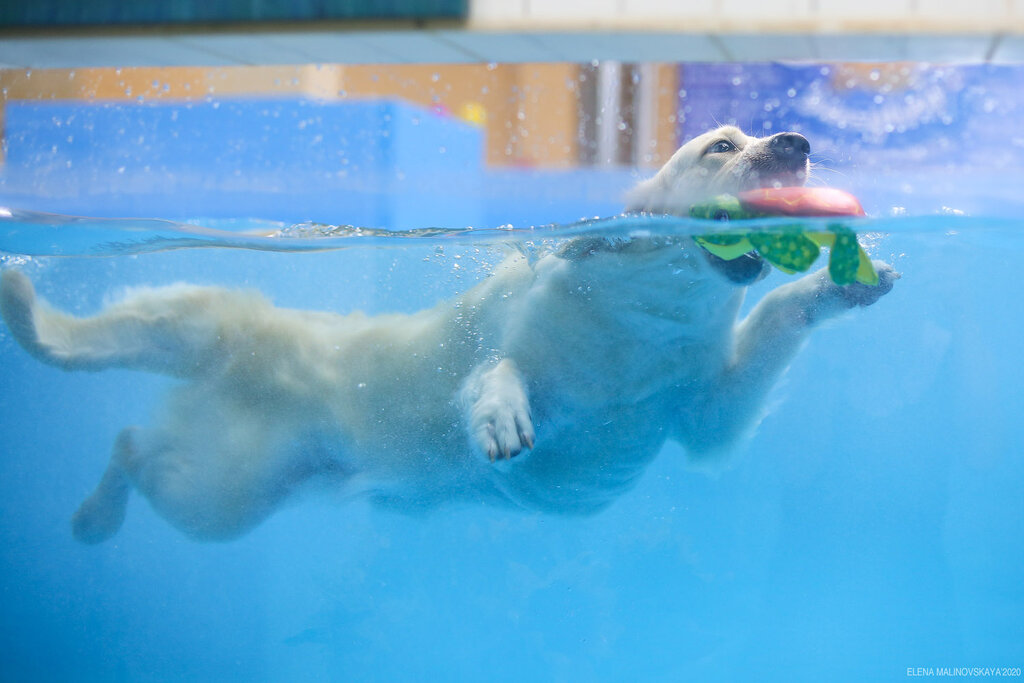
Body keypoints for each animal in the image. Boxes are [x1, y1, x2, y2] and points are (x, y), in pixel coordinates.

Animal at [0, 125, 897, 544]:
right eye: (721, 144)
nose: (796, 141)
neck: (639, 321)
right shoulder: (533, 311)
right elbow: (492, 364)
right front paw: (502, 418)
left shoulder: (685, 380)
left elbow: (723, 412)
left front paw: (850, 279)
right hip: (269, 382)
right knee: (174, 361)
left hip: (257, 460)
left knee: (167, 456)